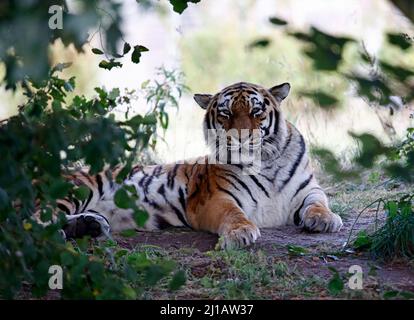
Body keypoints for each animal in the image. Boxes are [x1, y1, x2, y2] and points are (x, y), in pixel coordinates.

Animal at [47, 80, 342, 250]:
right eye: (225, 113)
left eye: (256, 111)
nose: (241, 137)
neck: (264, 163)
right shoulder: (215, 198)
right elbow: (234, 214)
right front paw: (241, 233)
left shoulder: (308, 189)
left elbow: (318, 203)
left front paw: (325, 219)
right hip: (75, 189)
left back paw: (90, 225)